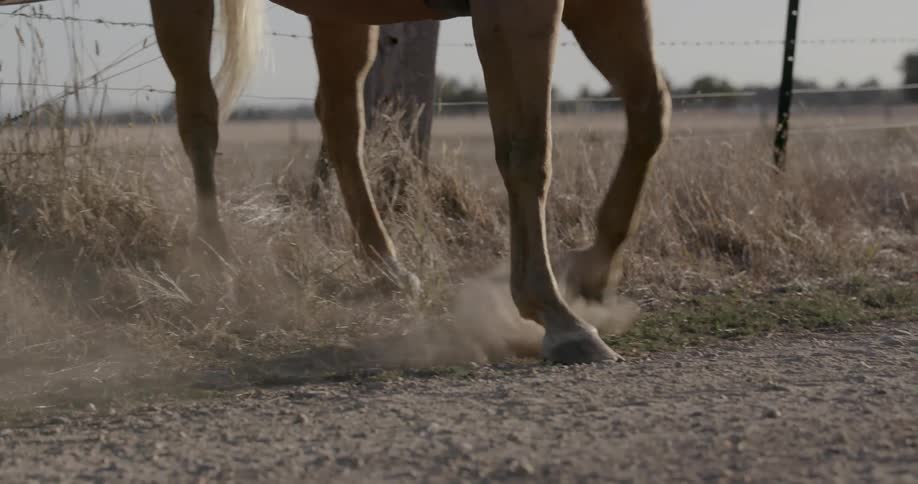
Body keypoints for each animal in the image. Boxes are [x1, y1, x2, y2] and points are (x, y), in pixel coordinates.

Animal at [85, 0, 674, 364]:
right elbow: (528, 150)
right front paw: (558, 317)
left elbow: (650, 112)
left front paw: (594, 272)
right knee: (200, 118)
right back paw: (220, 266)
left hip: (340, 15)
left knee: (340, 124)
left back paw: (386, 267)